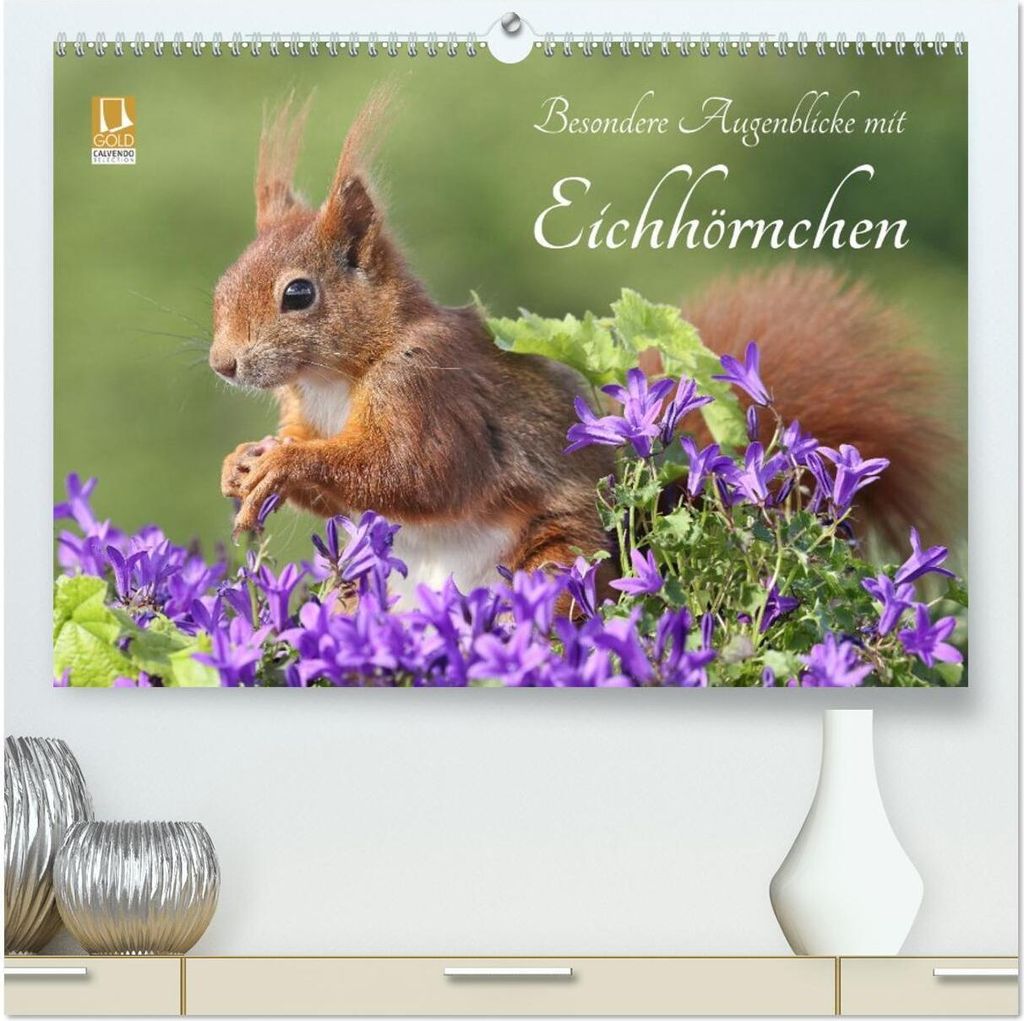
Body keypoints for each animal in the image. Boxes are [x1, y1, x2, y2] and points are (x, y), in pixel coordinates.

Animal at [210, 94, 953, 600]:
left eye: (298, 294)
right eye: (222, 282)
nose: (223, 363)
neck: (338, 374)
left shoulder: (428, 389)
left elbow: (414, 472)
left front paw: (283, 466)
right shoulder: (304, 409)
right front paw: (240, 464)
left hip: (561, 558)